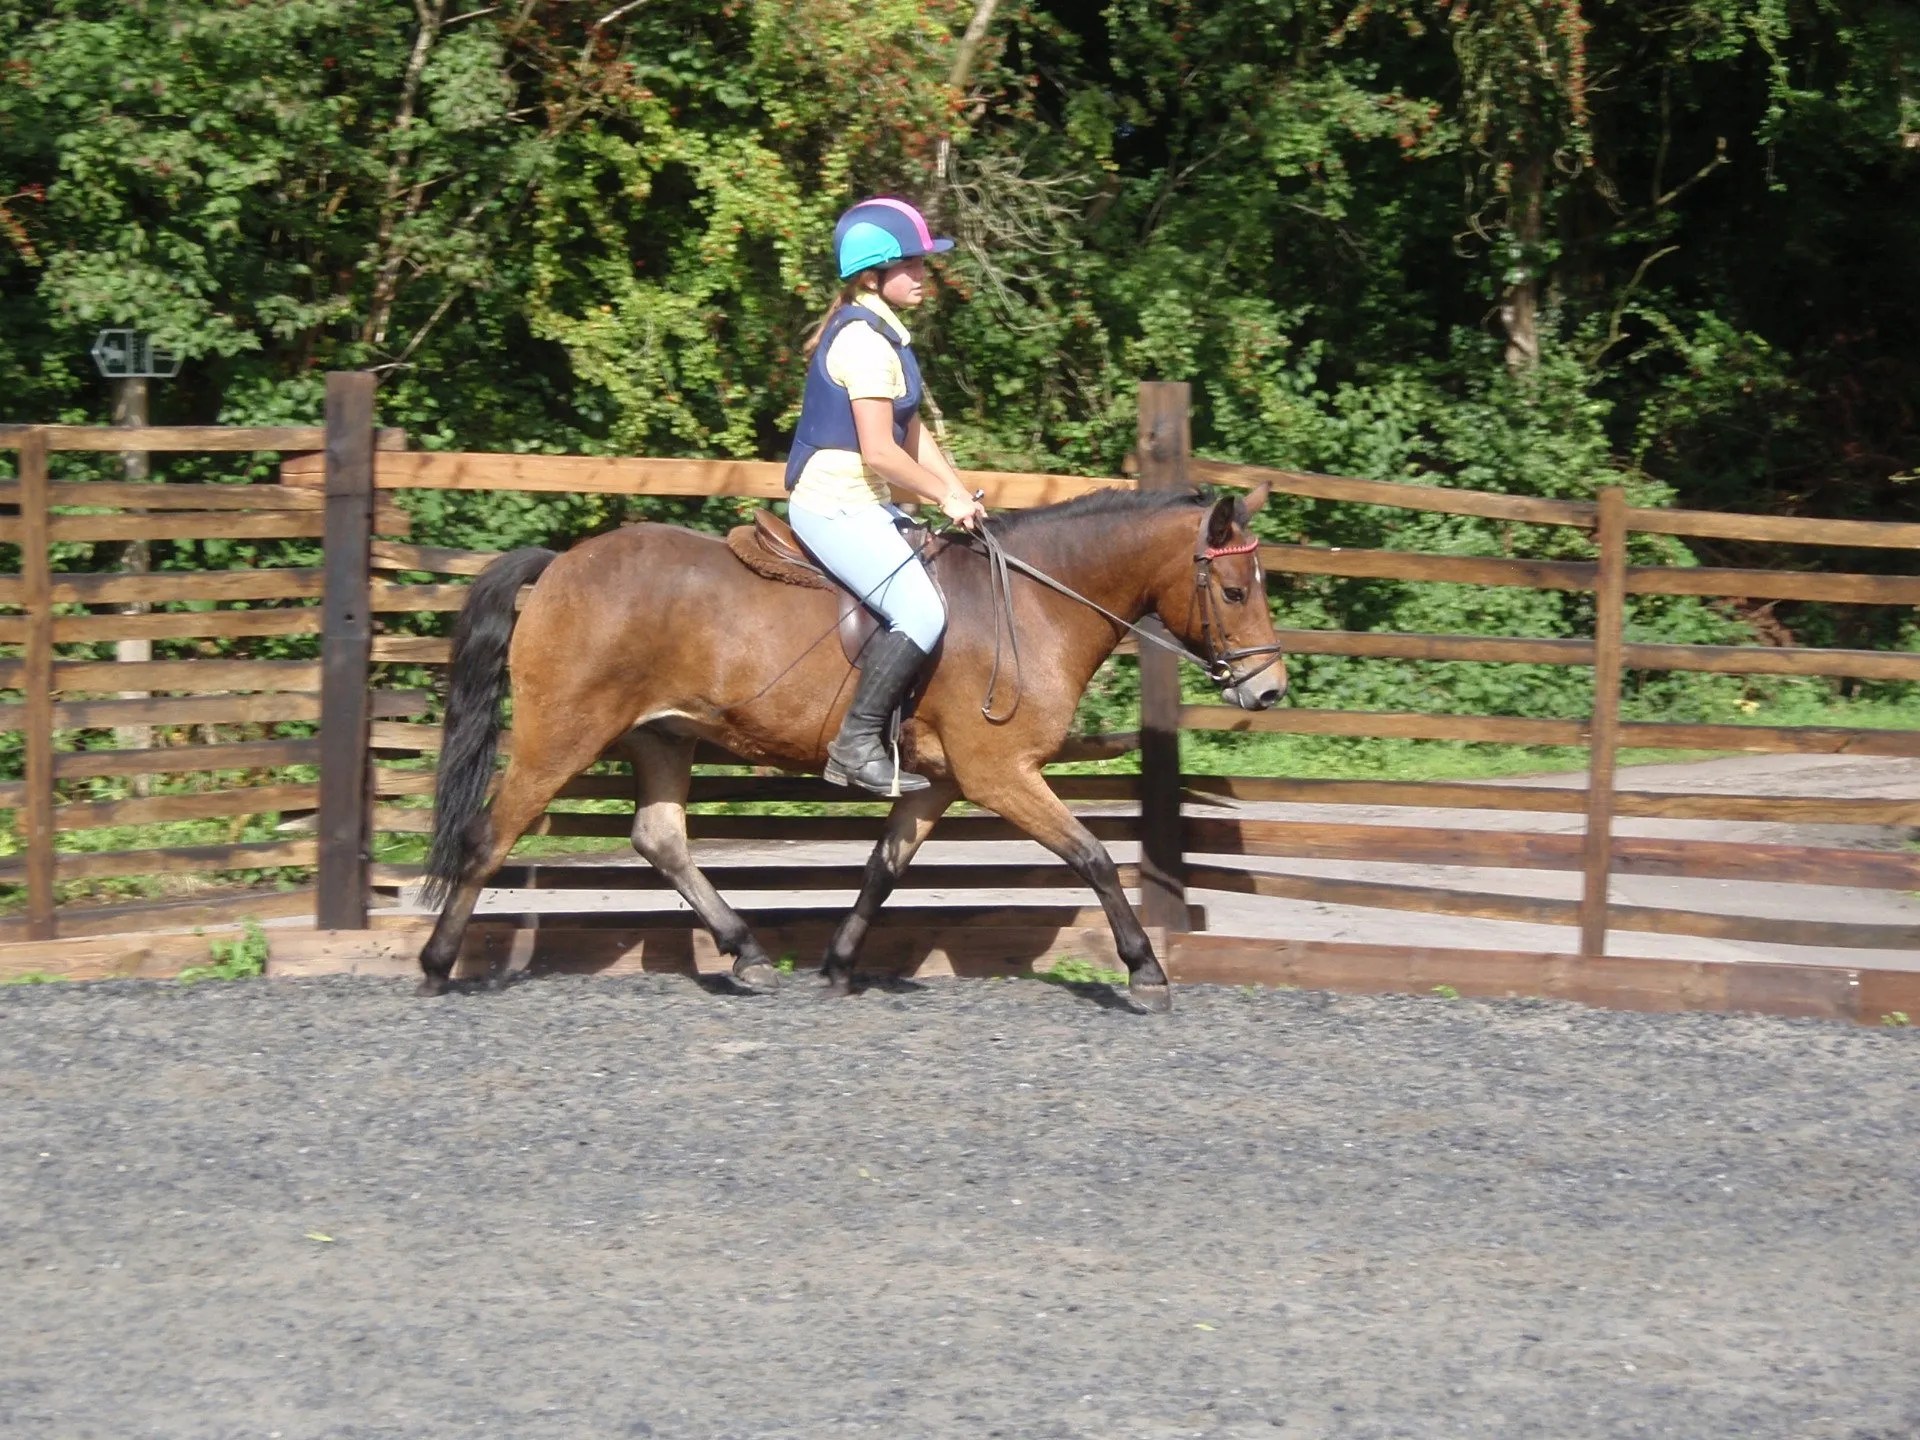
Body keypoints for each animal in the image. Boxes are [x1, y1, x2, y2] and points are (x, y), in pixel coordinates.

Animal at [416, 483, 1287, 1010]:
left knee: (659, 840)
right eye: (1234, 591)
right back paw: (435, 964)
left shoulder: (942, 782)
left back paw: (746, 952)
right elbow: (1096, 857)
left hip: (662, 736)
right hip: (561, 735)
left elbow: (883, 869)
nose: (1268, 689)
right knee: (489, 837)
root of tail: (560, 565)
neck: (1034, 604)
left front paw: (837, 965)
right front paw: (1146, 971)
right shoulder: (1000, 774)